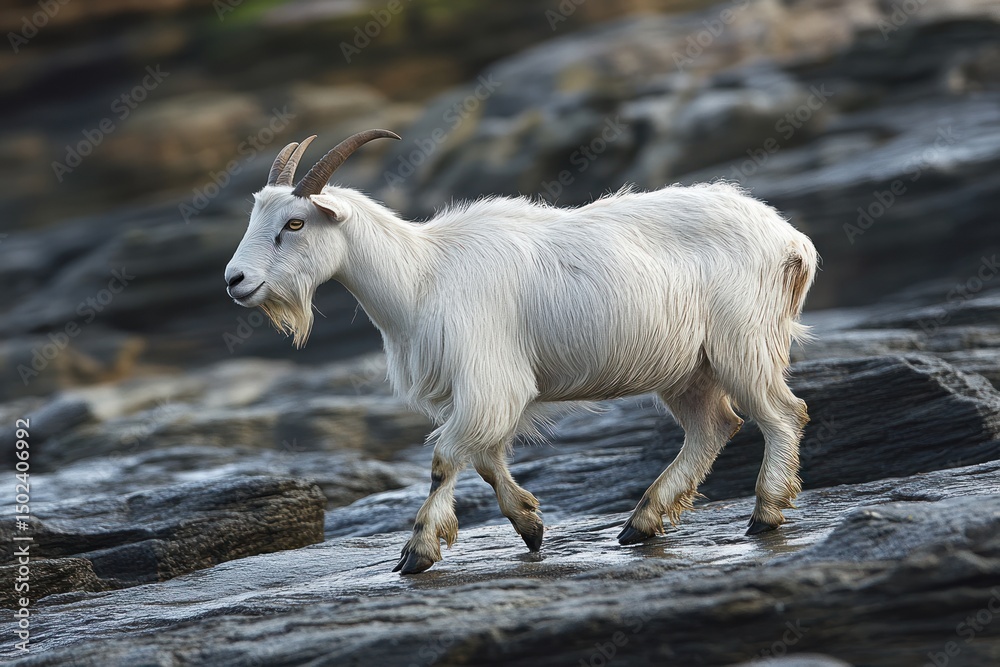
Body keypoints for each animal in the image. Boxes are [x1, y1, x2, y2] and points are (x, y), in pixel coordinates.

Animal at [225, 131, 818, 574]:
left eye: (295, 223)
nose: (236, 281)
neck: (420, 276)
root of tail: (792, 241)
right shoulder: (483, 390)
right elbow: (487, 461)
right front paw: (530, 526)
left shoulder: (488, 380)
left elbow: (445, 460)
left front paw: (417, 552)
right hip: (689, 367)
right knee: (713, 425)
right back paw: (641, 523)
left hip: (742, 342)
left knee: (781, 414)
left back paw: (765, 513)